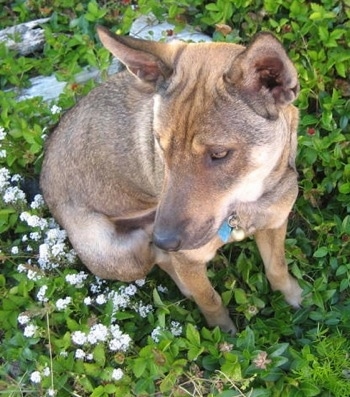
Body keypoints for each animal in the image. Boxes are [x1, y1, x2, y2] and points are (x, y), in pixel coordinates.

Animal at [40, 26, 304, 332]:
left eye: (219, 153)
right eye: (161, 146)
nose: (164, 239)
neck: (246, 204)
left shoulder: (275, 224)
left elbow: (277, 268)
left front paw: (295, 298)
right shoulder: (189, 259)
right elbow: (210, 299)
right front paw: (223, 333)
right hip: (117, 256)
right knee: (157, 260)